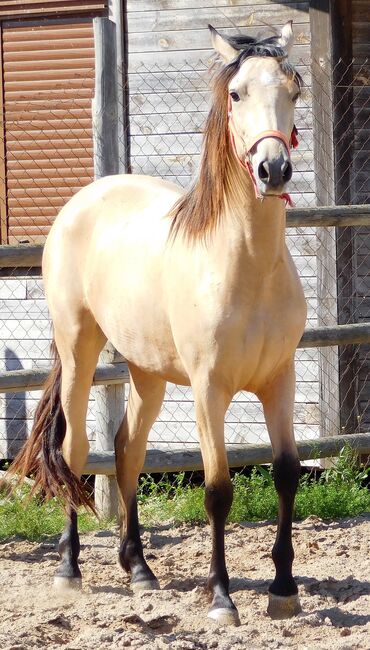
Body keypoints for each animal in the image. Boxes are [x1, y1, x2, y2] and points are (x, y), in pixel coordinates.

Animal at [11, 21, 306, 624]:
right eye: (236, 93)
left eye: (294, 89)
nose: (273, 170)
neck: (247, 267)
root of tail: (84, 200)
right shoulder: (209, 390)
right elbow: (217, 489)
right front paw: (221, 599)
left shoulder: (279, 380)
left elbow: (287, 472)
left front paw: (283, 589)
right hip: (78, 351)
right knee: (76, 451)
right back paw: (69, 569)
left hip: (145, 372)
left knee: (128, 449)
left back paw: (140, 568)